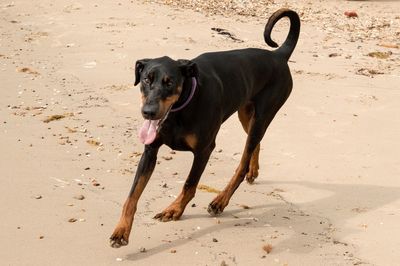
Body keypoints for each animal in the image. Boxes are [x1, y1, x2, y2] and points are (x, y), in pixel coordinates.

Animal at [110, 8, 300, 249]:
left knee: (243, 160)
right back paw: (253, 170)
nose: (149, 112)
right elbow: (132, 196)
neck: (180, 110)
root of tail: (277, 56)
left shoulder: (204, 149)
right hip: (246, 113)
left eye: (170, 82)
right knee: (255, 143)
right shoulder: (150, 149)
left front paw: (174, 210)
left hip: (263, 114)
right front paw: (121, 231)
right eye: (146, 79)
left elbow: (190, 184)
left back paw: (221, 200)